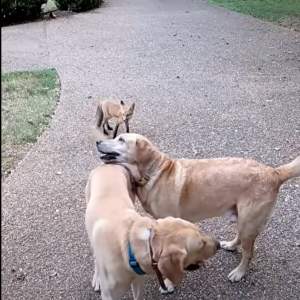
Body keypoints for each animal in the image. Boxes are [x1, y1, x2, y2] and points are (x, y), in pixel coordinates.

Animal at [85, 164, 219, 300]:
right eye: (201, 244)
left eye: (200, 232)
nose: (218, 244)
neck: (129, 244)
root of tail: (107, 165)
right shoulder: (109, 295)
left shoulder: (138, 282)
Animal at [95, 135, 300, 282]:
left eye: (121, 140)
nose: (97, 141)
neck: (152, 172)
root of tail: (274, 172)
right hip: (243, 220)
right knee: (240, 238)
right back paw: (231, 245)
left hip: (249, 223)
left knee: (249, 253)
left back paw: (239, 273)